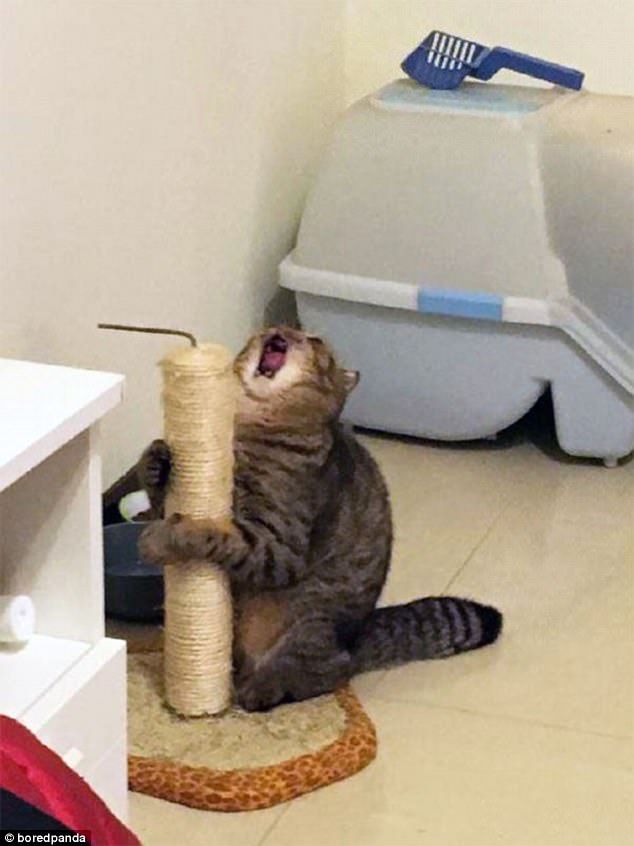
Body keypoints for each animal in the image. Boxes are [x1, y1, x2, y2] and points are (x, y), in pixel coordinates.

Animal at [137, 328, 498, 712]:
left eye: (313, 339)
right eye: (267, 331)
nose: (279, 332)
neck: (248, 421)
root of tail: (358, 636)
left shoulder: (277, 546)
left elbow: (213, 532)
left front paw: (161, 539)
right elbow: (162, 496)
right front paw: (155, 460)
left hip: (310, 620)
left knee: (326, 672)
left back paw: (258, 689)